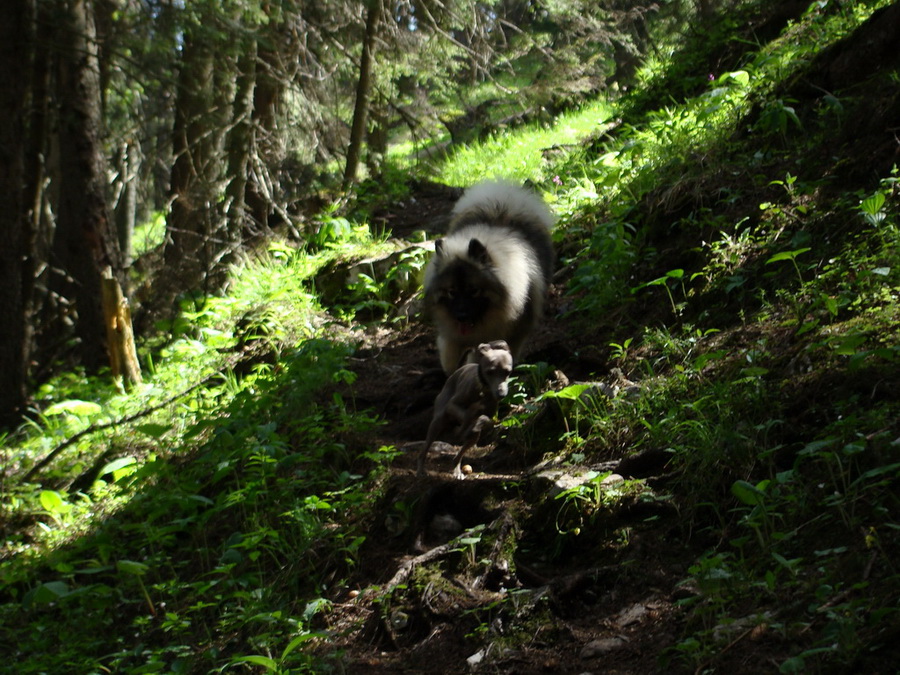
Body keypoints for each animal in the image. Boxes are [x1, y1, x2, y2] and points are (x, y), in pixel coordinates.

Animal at [416, 344, 512, 480]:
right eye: (490, 372)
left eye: (507, 372)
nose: (501, 394)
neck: (483, 390)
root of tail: (457, 370)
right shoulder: (452, 405)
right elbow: (468, 415)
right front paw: (466, 425)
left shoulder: (492, 416)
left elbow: (485, 419)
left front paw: (475, 423)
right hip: (437, 421)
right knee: (424, 450)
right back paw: (420, 470)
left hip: (471, 439)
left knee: (459, 455)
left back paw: (457, 470)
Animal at [424, 180, 556, 374]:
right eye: (451, 292)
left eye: (474, 290)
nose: (461, 316)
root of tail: (504, 199)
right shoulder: (453, 337)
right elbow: (450, 361)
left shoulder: (512, 332)